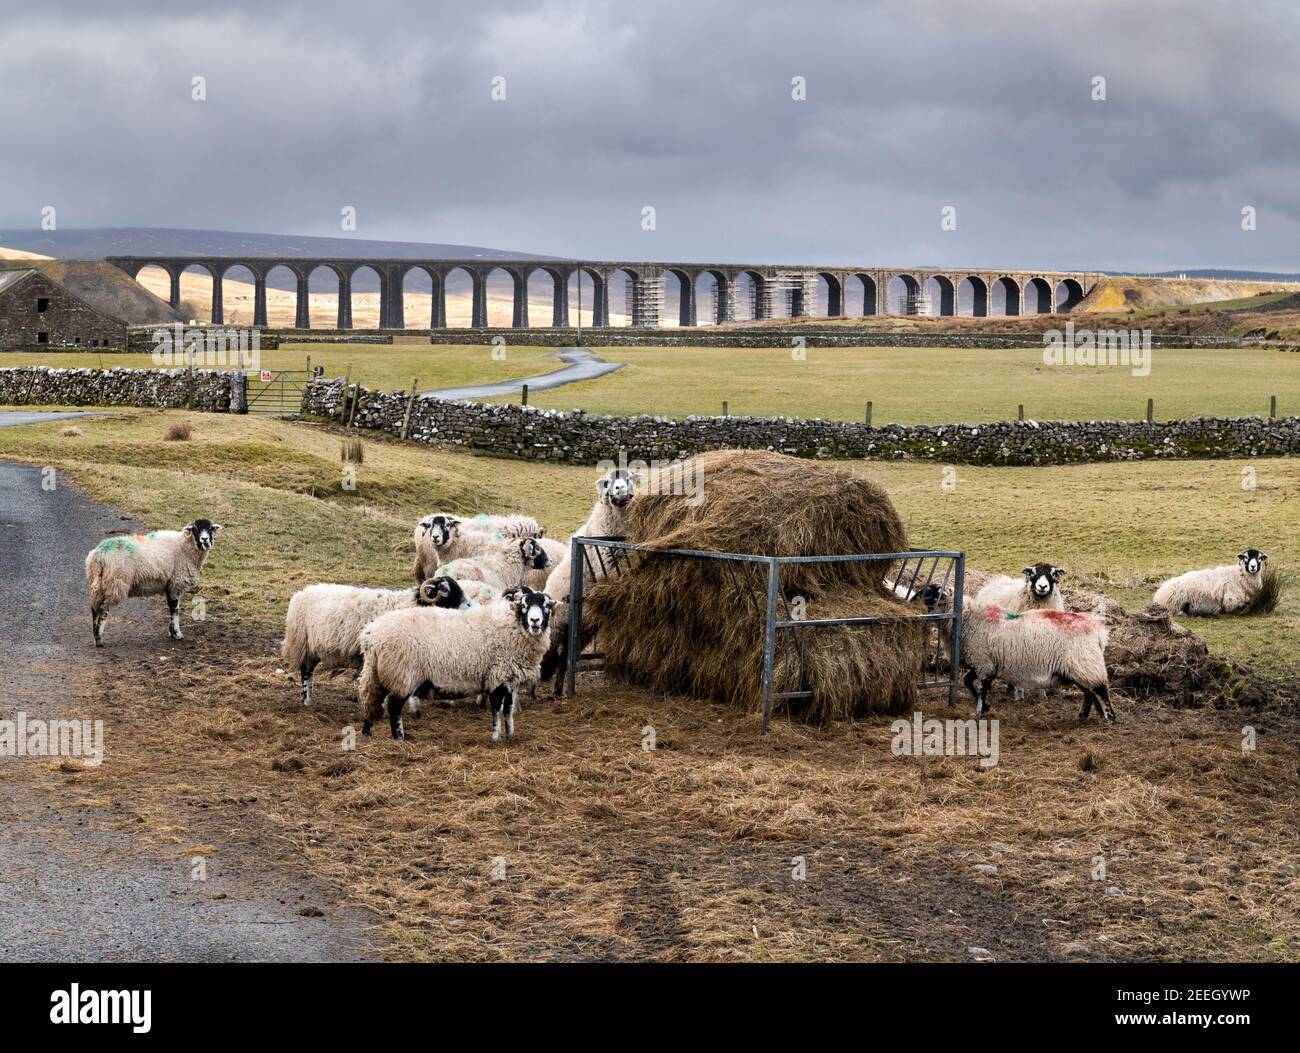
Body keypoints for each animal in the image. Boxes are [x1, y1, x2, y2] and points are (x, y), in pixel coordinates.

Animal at [87, 520, 222, 647]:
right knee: (103, 609)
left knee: (94, 609)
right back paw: (99, 639)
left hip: (99, 584)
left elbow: (173, 608)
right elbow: (175, 610)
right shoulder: (176, 583)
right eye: (195, 528)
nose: (205, 539)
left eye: (210, 528)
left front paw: (171, 632)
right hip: (115, 583)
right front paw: (177, 633)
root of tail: (99, 555)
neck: (184, 546)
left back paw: (94, 636)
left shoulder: (170, 586)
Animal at [282, 574, 470, 707]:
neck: (409, 606)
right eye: (445, 590)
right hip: (304, 643)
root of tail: (299, 594)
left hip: (313, 647)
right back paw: (307, 700)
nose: (469, 606)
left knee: (309, 671)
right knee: (306, 671)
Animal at [358, 582, 556, 738]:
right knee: (393, 707)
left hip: (378, 673)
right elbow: (496, 711)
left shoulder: (509, 680)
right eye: (523, 605)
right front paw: (496, 737)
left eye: (547, 606)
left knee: (371, 700)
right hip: (403, 674)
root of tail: (372, 635)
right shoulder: (497, 676)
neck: (512, 626)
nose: (535, 621)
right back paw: (399, 737)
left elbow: (508, 711)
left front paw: (509, 736)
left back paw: (367, 732)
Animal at [961, 598, 1112, 722]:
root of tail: (1098, 631)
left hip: (1085, 664)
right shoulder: (987, 666)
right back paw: (1082, 716)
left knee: (1100, 690)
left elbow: (982, 690)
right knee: (1089, 692)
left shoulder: (983, 664)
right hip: (1077, 669)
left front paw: (979, 712)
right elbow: (967, 680)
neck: (971, 620)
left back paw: (1110, 718)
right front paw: (985, 706)